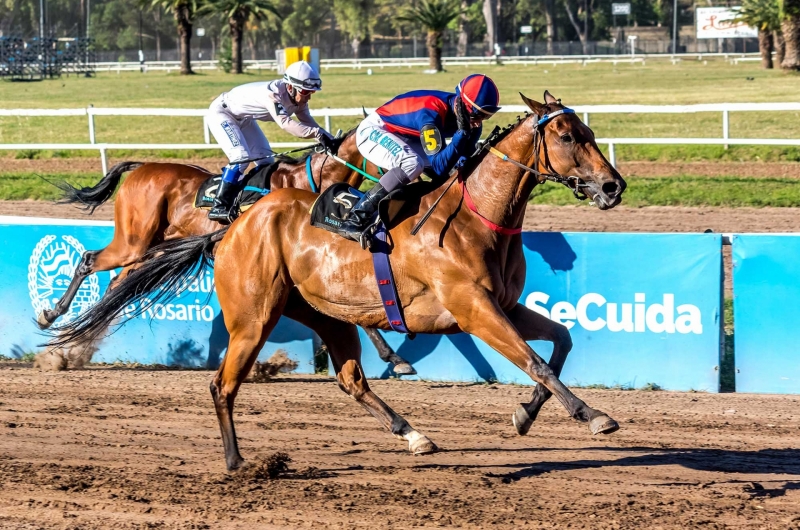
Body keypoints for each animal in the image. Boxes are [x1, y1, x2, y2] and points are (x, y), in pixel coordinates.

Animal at [50, 92, 628, 470]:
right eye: (569, 136)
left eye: (590, 133)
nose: (613, 186)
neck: (474, 216)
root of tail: (233, 226)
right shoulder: (472, 308)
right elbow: (534, 361)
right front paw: (593, 414)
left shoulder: (503, 305)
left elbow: (561, 341)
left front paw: (525, 415)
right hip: (247, 313)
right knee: (216, 378)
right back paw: (237, 460)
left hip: (324, 313)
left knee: (351, 379)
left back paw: (413, 435)